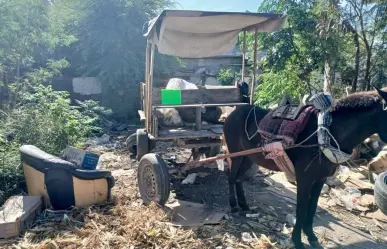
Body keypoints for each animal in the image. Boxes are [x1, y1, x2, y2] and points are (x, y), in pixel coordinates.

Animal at [223, 87, 387, 249]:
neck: (326, 133)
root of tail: (233, 113)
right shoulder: (304, 179)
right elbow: (301, 210)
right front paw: (297, 240)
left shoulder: (320, 178)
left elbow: (312, 208)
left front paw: (311, 236)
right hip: (236, 154)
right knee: (231, 178)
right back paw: (234, 206)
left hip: (248, 157)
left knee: (238, 179)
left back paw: (244, 205)